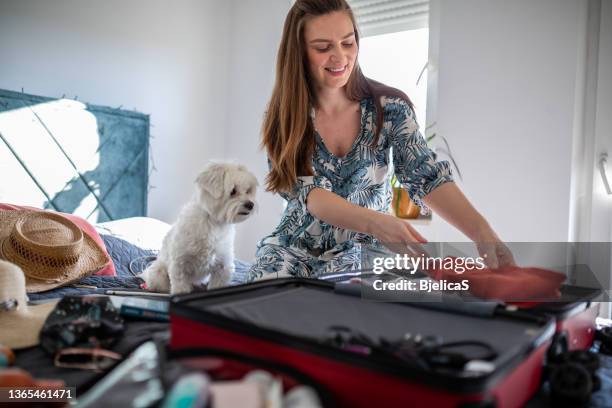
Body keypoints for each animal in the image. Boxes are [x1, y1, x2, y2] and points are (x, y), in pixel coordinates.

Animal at [142, 163, 256, 294]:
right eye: (233, 191)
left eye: (248, 191)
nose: (250, 204)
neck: (213, 223)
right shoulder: (180, 265)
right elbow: (180, 287)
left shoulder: (223, 268)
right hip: (158, 274)